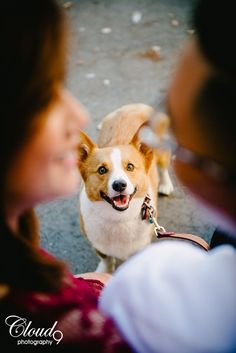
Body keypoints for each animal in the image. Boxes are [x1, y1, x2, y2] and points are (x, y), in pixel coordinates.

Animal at [78, 103, 173, 270]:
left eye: (130, 166)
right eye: (101, 170)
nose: (119, 185)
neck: (118, 218)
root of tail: (135, 105)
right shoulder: (98, 245)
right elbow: (106, 258)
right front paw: (104, 271)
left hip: (161, 151)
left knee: (163, 166)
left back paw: (165, 184)